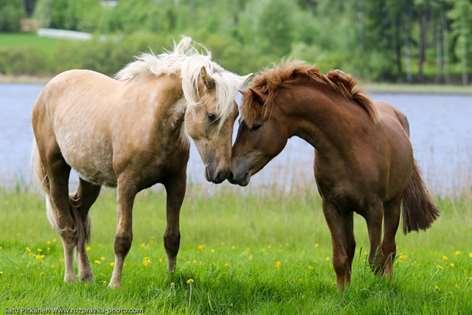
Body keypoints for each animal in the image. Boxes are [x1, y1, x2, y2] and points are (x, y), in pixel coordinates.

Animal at [31, 37, 249, 288]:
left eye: (236, 116)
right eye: (212, 116)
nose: (222, 172)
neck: (152, 120)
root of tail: (48, 89)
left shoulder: (176, 184)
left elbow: (172, 238)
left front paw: (171, 280)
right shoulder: (127, 185)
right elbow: (122, 239)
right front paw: (115, 285)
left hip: (90, 177)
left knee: (79, 214)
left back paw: (87, 275)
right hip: (55, 168)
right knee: (67, 227)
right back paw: (70, 278)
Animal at [230, 61, 440, 292]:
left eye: (256, 125)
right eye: (239, 123)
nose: (232, 171)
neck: (349, 144)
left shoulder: (374, 209)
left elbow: (375, 259)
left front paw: (378, 291)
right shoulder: (333, 207)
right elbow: (341, 258)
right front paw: (343, 293)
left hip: (392, 203)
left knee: (389, 249)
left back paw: (388, 282)